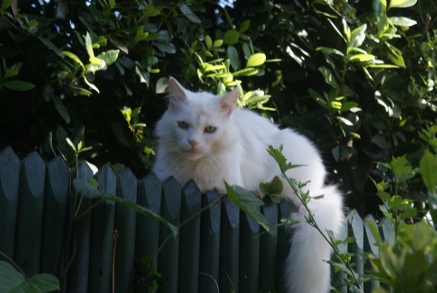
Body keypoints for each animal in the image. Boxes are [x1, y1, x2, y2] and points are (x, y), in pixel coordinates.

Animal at [153, 77, 344, 292]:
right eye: (183, 125)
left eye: (209, 129)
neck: (192, 170)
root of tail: (318, 190)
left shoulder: (222, 186)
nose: (192, 142)